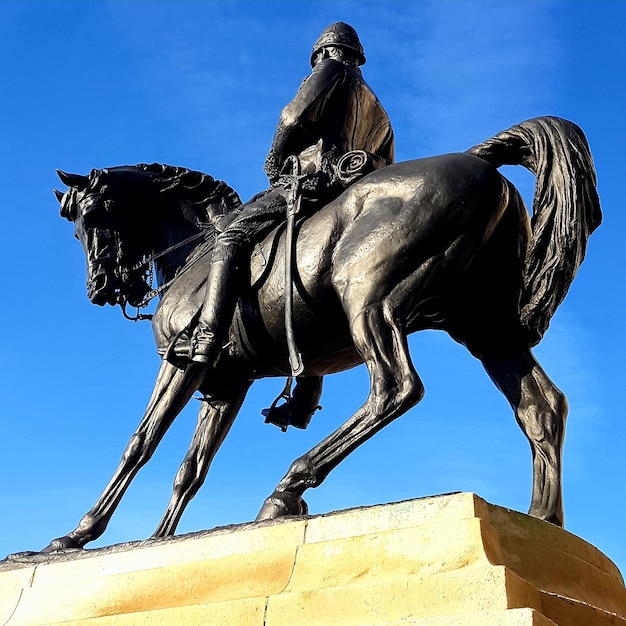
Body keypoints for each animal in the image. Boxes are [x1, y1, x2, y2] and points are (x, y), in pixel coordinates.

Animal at [46, 114, 596, 548]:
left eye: (88, 217)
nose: (101, 288)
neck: (196, 253)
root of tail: (477, 163)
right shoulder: (227, 383)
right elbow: (191, 469)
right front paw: (159, 538)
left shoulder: (181, 363)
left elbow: (141, 443)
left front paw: (77, 535)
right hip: (485, 328)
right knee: (542, 406)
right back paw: (542, 521)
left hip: (369, 300)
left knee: (395, 388)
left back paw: (287, 489)